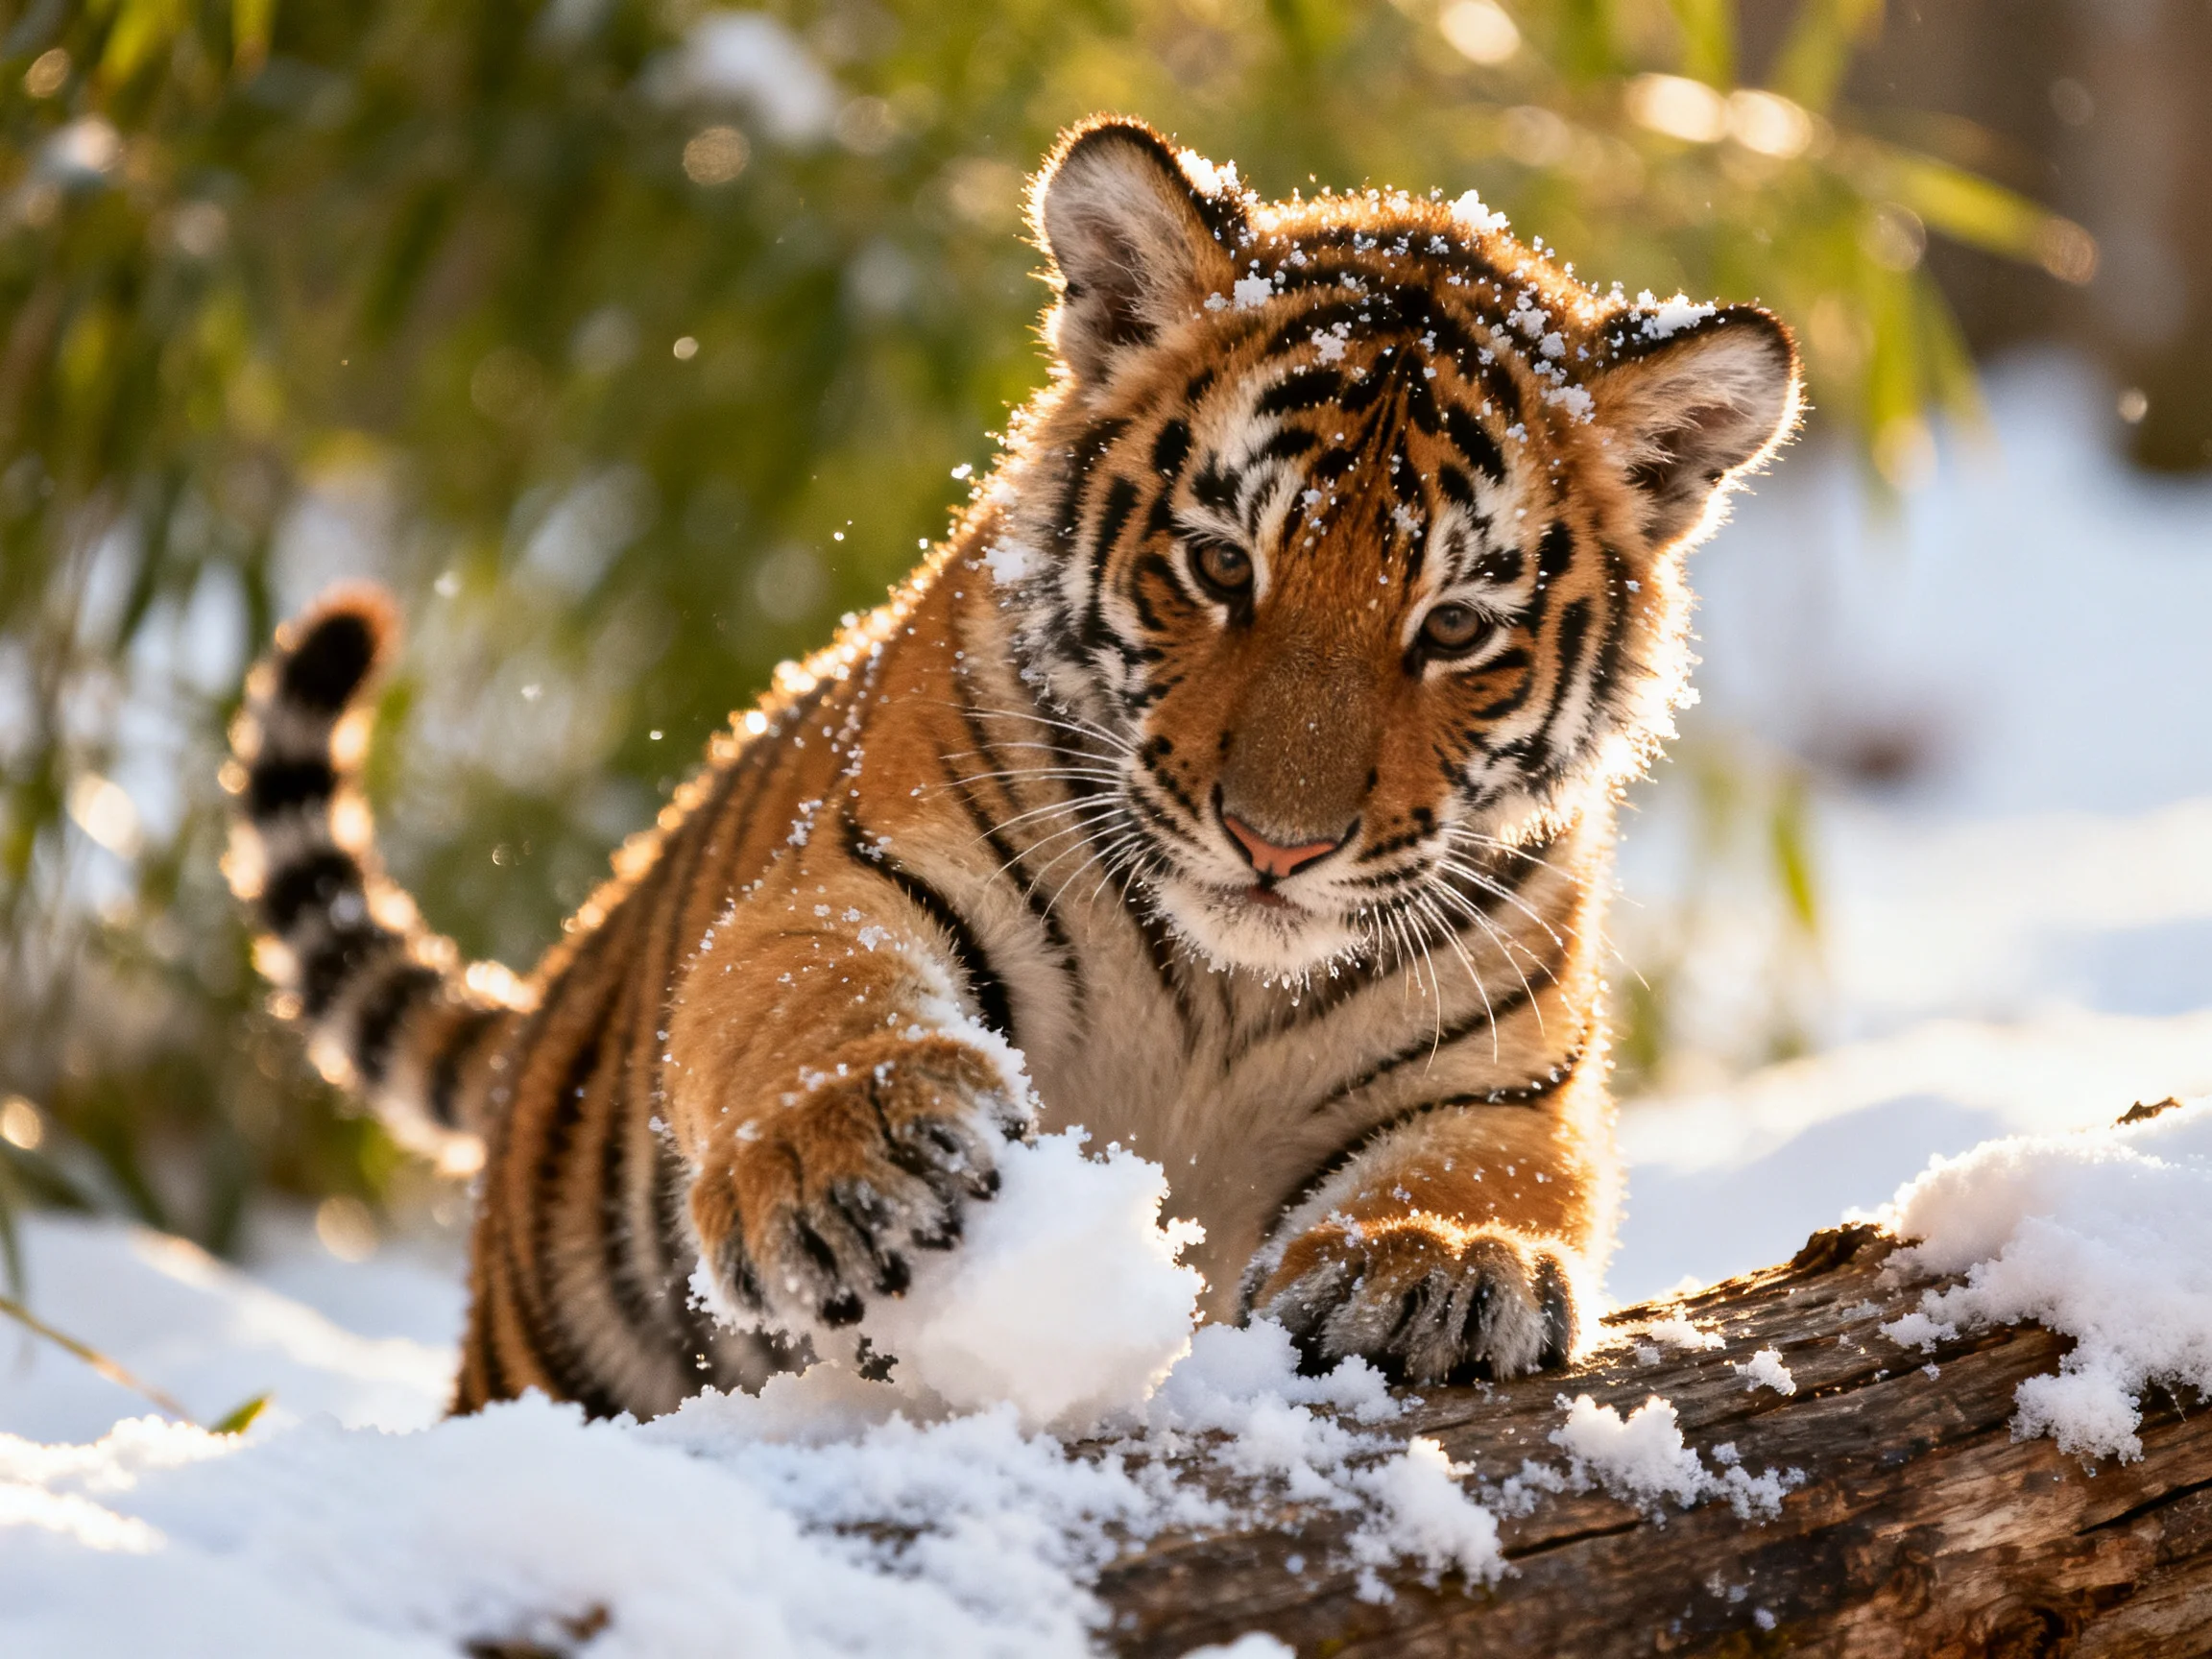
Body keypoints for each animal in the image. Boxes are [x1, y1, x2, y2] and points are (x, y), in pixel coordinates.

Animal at [225, 115, 1799, 1419]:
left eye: (1456, 627)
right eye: (1219, 565)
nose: (1277, 845)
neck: (1221, 1009)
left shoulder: (1508, 1071)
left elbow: (1503, 1166)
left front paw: (1440, 1262)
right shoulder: (844, 875)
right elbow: (815, 993)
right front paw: (844, 1155)